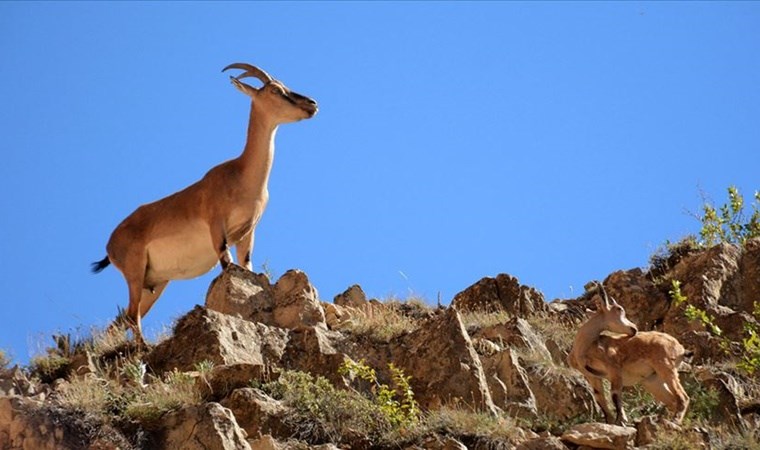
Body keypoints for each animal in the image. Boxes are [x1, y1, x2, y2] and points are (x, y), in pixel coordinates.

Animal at [93, 62, 318, 344]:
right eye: (275, 90)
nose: (312, 104)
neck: (242, 176)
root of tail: (110, 244)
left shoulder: (248, 232)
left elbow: (246, 265)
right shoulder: (216, 226)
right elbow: (227, 264)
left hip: (154, 283)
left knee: (123, 319)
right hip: (134, 271)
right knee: (132, 316)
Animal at [568, 284, 692, 426]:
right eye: (619, 310)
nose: (634, 328)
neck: (584, 348)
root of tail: (680, 348)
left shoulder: (614, 369)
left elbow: (615, 394)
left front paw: (621, 420)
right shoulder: (592, 376)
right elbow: (600, 399)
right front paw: (611, 422)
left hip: (666, 367)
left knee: (683, 396)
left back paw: (674, 421)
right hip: (652, 380)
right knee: (672, 400)